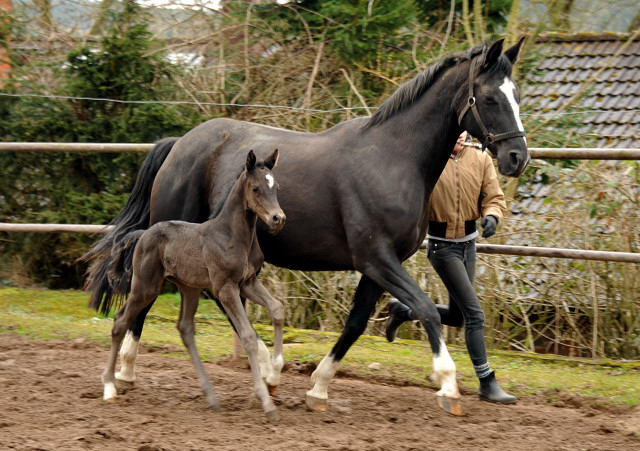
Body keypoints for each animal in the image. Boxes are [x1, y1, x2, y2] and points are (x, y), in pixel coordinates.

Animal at [102, 150, 284, 422]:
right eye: (256, 188)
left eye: (276, 187)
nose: (278, 219)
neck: (231, 235)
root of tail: (143, 234)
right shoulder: (225, 288)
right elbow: (248, 336)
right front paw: (266, 400)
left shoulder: (248, 282)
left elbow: (277, 309)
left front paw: (276, 370)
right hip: (146, 286)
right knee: (121, 321)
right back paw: (109, 387)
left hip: (189, 288)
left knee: (185, 328)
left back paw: (212, 396)